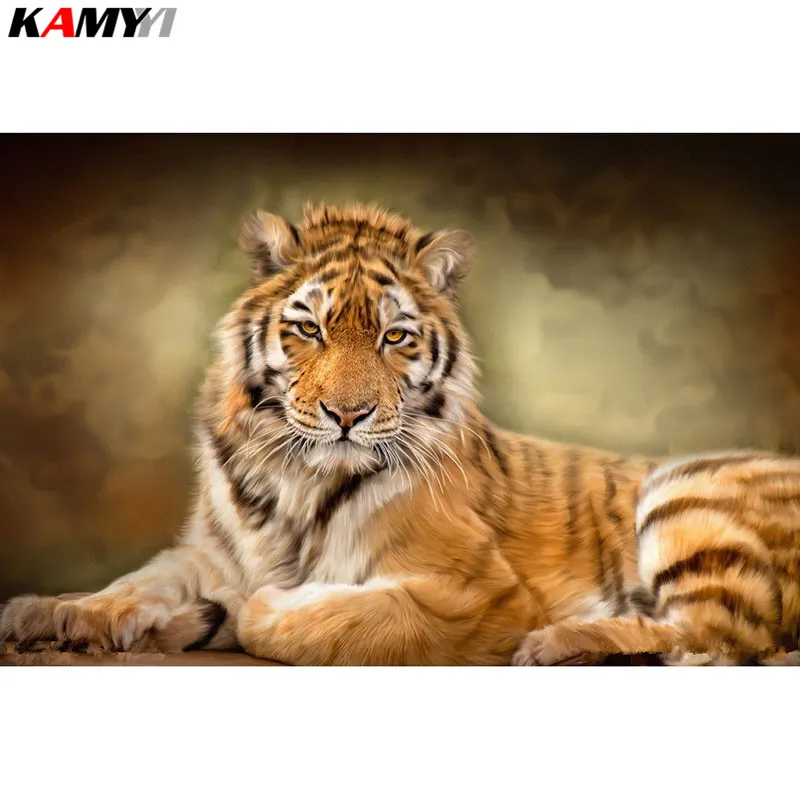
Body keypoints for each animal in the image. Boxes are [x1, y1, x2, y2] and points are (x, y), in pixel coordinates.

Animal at [2, 201, 799, 665]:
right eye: (309, 329)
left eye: (395, 337)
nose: (347, 416)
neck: (297, 474)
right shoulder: (211, 550)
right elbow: (138, 580)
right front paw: (54, 611)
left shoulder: (476, 591)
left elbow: (330, 615)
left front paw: (250, 610)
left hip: (683, 488)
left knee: (717, 640)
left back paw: (559, 644)